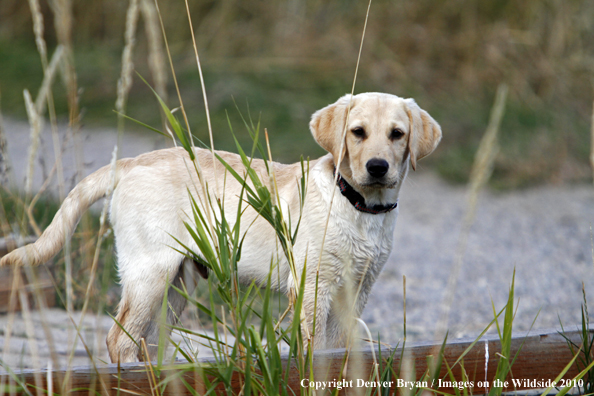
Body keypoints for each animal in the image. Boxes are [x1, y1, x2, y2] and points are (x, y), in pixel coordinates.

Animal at [0, 92, 438, 362]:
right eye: (357, 132)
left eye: (397, 134)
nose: (377, 167)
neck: (360, 208)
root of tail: (131, 161)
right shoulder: (313, 286)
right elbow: (313, 349)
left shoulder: (358, 289)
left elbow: (339, 349)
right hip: (150, 273)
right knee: (119, 340)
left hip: (177, 285)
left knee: (147, 342)